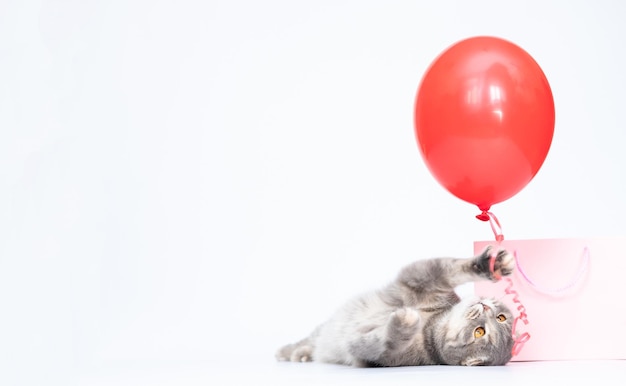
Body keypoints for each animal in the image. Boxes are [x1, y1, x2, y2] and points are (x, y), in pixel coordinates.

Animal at [276, 247, 516, 368]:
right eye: (502, 317)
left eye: (480, 332)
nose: (486, 307)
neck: (429, 324)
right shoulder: (425, 277)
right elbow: (452, 268)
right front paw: (491, 265)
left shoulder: (369, 352)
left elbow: (380, 341)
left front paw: (402, 324)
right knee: (307, 341)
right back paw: (295, 352)